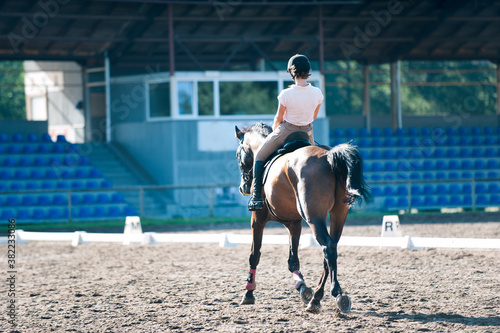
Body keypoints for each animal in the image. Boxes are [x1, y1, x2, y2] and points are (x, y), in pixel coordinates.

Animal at [235, 121, 372, 312]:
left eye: (238, 155)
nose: (243, 188)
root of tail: (329, 156)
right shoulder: (294, 223)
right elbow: (293, 260)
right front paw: (302, 288)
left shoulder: (257, 219)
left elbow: (254, 255)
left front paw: (248, 292)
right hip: (338, 214)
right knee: (331, 249)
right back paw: (316, 298)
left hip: (314, 217)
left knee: (328, 247)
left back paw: (337, 294)